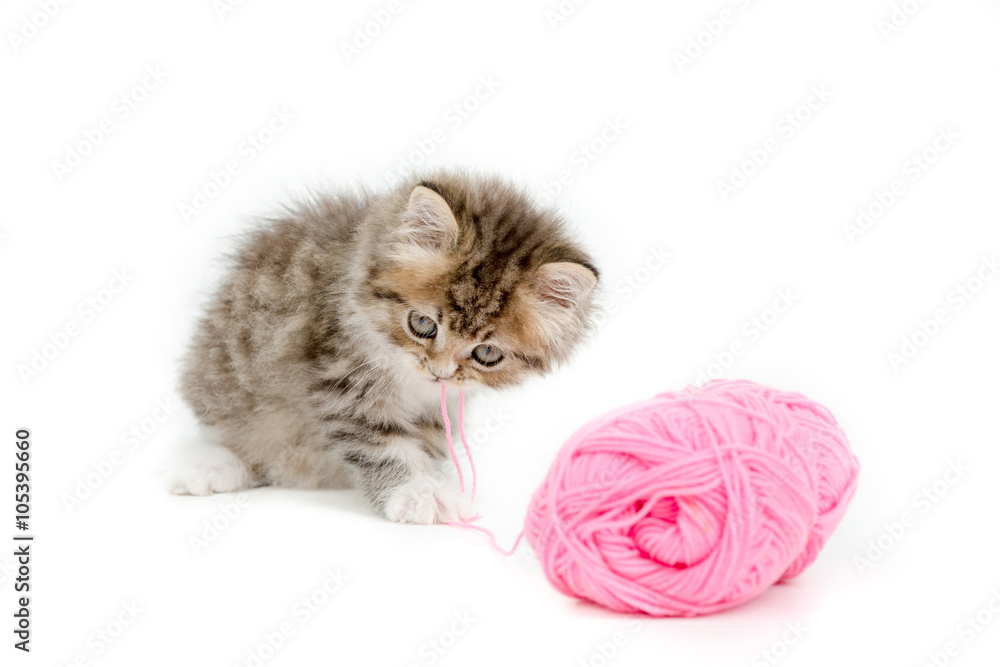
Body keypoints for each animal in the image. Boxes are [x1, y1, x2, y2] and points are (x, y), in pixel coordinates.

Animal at [172, 170, 596, 524]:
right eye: (422, 325)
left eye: (486, 354)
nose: (439, 372)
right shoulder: (341, 378)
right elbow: (383, 444)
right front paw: (418, 494)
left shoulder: (437, 407)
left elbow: (424, 444)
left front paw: (429, 484)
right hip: (222, 378)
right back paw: (211, 466)